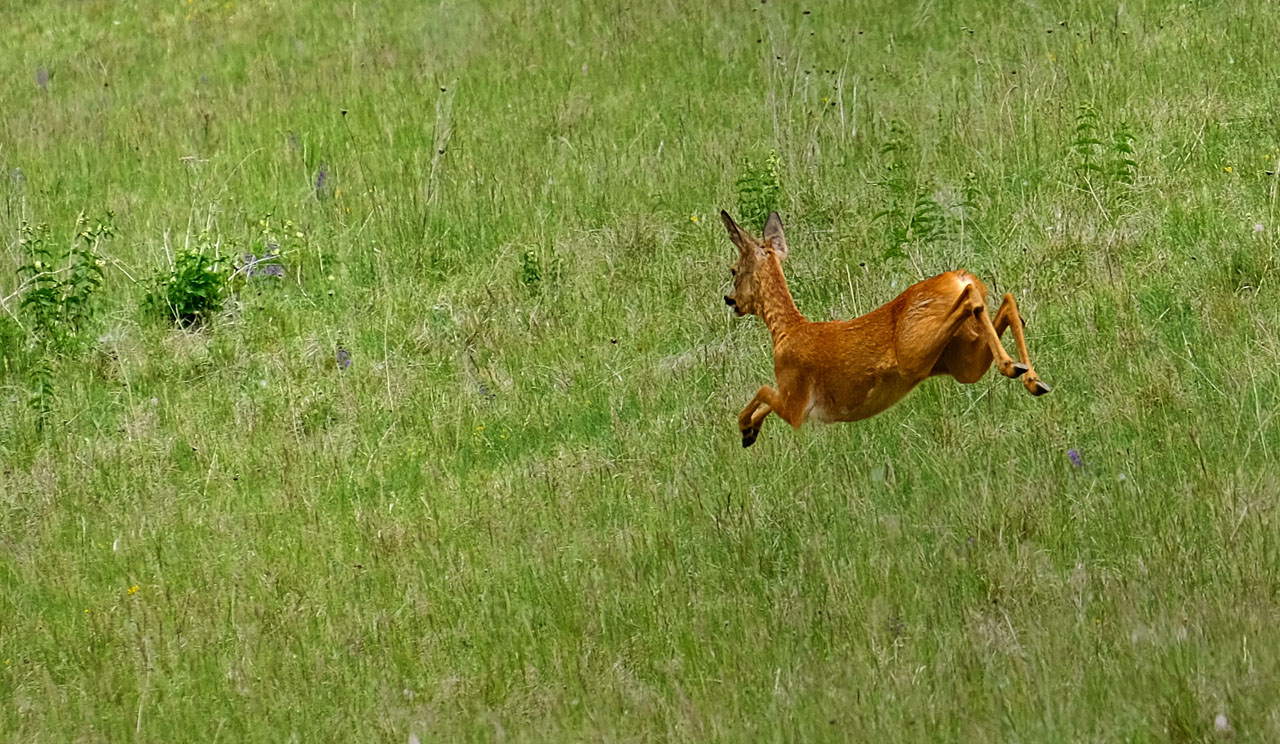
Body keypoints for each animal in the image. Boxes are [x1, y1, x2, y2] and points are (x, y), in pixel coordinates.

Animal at [721, 211, 1049, 450]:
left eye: (734, 270)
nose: (730, 299)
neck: (786, 332)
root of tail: (961, 277)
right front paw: (750, 431)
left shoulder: (796, 402)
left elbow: (763, 390)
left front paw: (744, 428)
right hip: (963, 359)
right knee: (1006, 301)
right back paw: (1031, 378)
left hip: (914, 353)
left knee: (974, 300)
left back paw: (1014, 367)